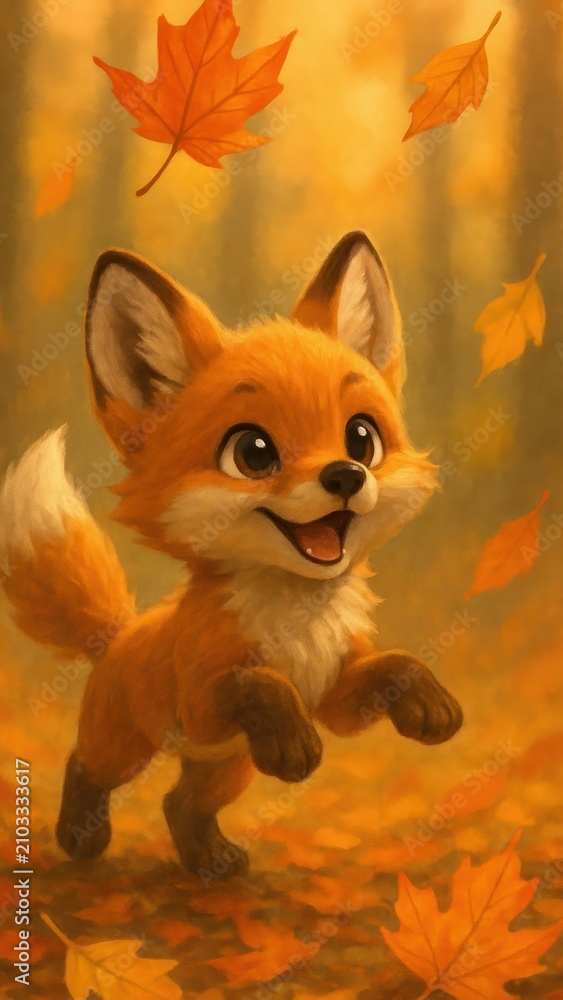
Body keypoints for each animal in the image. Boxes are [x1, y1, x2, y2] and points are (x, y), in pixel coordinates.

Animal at [0, 232, 462, 877]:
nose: (346, 476)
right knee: (86, 766)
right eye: (253, 453)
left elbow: (395, 664)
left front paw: (430, 703)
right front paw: (292, 739)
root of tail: (119, 635)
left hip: (228, 765)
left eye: (362, 438)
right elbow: (257, 683)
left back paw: (209, 861)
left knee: (179, 803)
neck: (297, 619)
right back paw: (80, 836)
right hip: (128, 744)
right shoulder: (202, 700)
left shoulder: (334, 695)